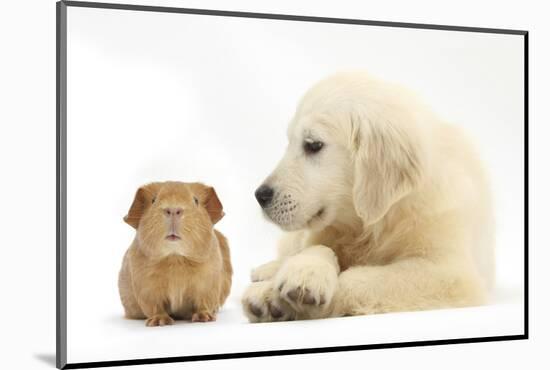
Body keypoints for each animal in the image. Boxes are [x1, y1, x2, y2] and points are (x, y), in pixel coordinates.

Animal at [244, 71, 494, 320]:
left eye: (313, 145)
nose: (260, 196)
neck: (375, 222)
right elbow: (319, 248)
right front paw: (294, 278)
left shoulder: (450, 271)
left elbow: (358, 279)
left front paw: (280, 296)